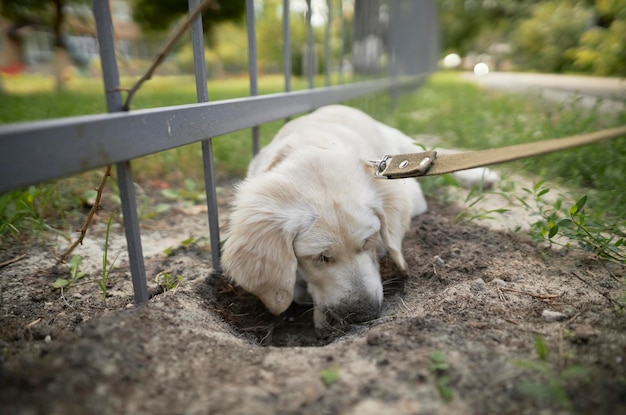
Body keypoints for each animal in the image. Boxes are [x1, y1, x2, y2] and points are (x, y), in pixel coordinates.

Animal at [222, 105, 494, 334]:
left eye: (368, 241)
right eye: (320, 257)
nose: (366, 315)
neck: (312, 145)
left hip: (403, 146)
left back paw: (481, 174)